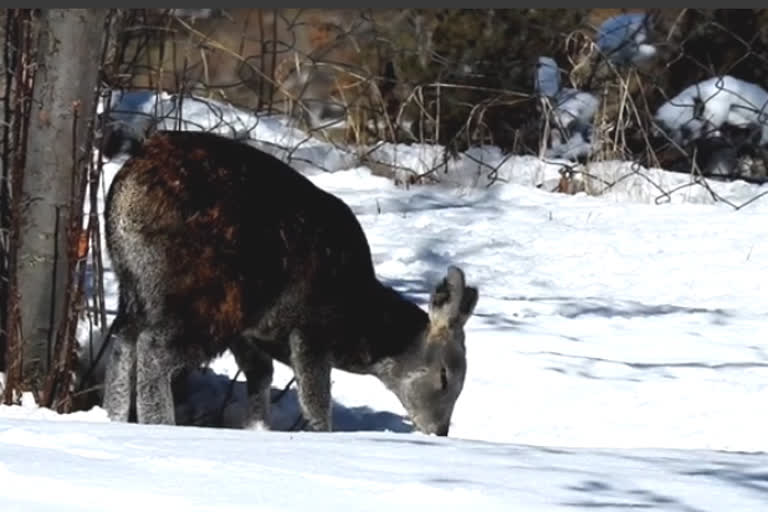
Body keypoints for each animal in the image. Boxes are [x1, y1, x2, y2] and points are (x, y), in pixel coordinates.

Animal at [100, 130, 476, 434]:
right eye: (445, 377)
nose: (440, 431)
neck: (357, 326)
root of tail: (128, 181)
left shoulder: (251, 334)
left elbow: (261, 375)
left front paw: (258, 428)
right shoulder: (311, 329)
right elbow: (316, 403)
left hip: (135, 287)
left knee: (123, 340)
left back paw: (116, 419)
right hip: (210, 296)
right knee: (153, 349)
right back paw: (160, 424)